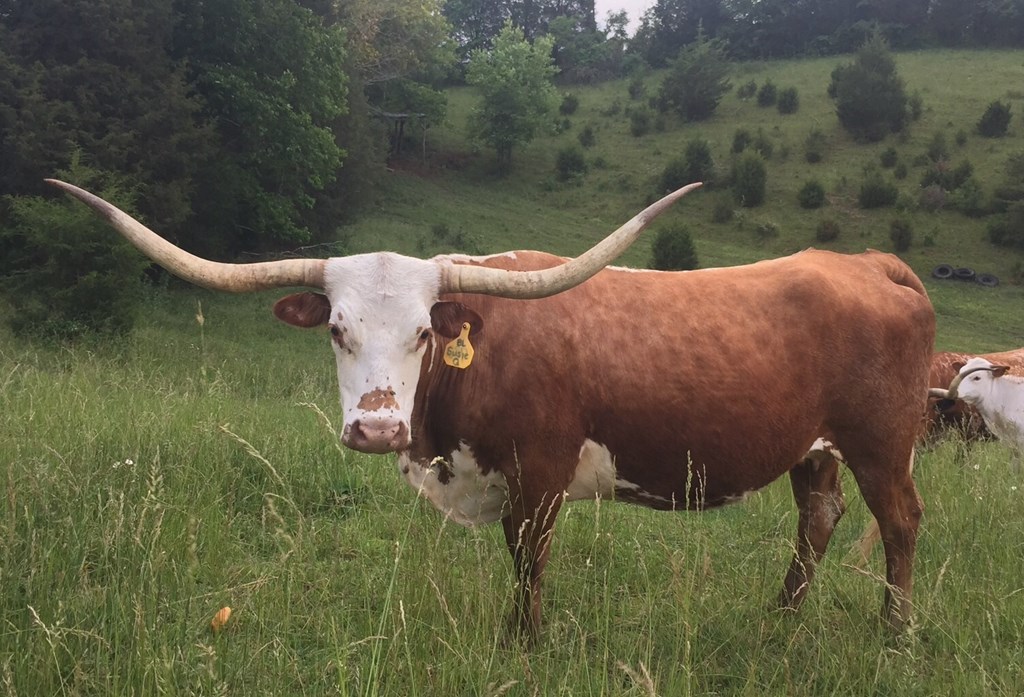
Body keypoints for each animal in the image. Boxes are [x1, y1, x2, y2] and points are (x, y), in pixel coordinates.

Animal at [47, 178, 935, 639]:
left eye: (421, 332)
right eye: (336, 327)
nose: (377, 426)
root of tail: (868, 263)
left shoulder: (537, 475)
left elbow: (527, 559)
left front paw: (525, 640)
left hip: (882, 443)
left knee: (898, 522)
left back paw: (893, 631)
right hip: (814, 447)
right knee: (818, 517)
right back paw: (779, 618)